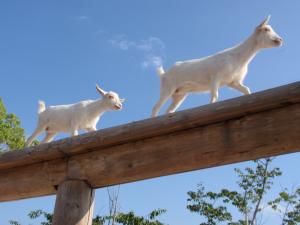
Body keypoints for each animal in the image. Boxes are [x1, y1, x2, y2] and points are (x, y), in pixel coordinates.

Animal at [151, 15, 282, 118]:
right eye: (266, 29)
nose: (280, 40)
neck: (238, 57)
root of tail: (163, 74)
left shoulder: (233, 82)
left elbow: (246, 90)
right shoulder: (215, 77)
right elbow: (215, 96)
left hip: (179, 94)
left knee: (168, 111)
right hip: (167, 88)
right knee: (155, 107)